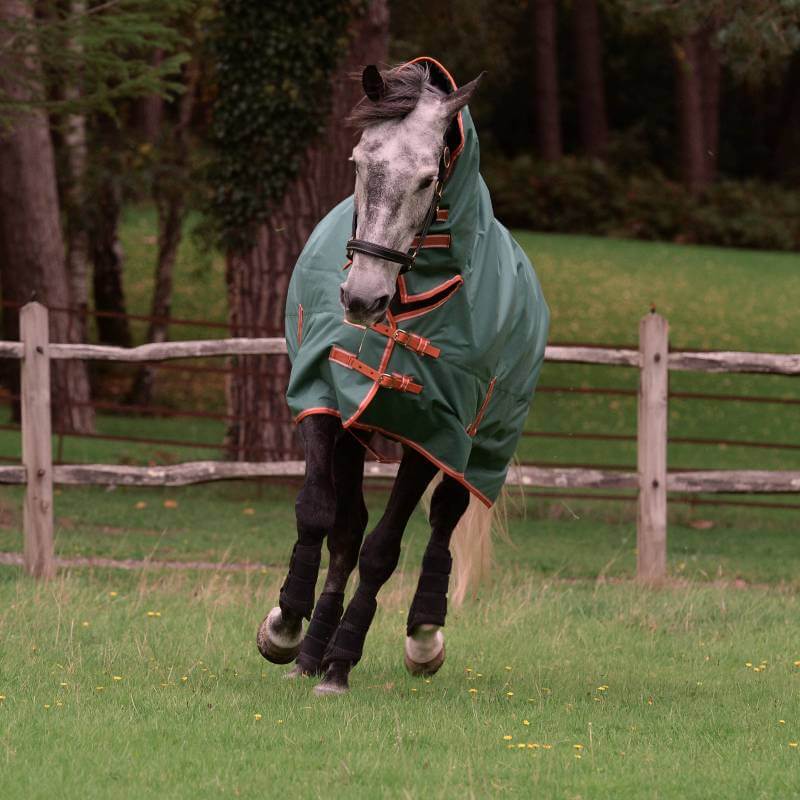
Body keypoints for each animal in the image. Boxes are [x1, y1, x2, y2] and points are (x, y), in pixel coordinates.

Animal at [257, 57, 549, 695]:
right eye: (359, 163)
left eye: (425, 179)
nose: (361, 298)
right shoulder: (328, 401)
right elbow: (321, 516)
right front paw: (288, 629)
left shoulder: (430, 430)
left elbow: (383, 549)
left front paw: (341, 661)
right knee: (347, 531)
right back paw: (312, 646)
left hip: (477, 448)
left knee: (443, 519)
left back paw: (422, 636)